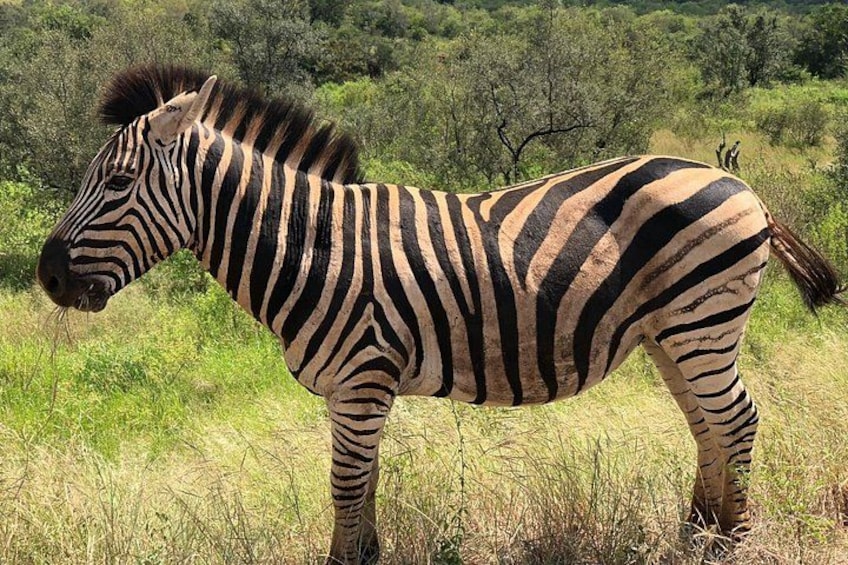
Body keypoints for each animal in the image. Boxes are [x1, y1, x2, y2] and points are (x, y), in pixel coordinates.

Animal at [37, 66, 843, 564]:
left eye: (116, 182)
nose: (46, 275)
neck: (313, 244)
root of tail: (740, 184)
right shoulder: (358, 388)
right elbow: (364, 483)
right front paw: (369, 554)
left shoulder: (362, 377)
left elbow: (346, 484)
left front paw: (348, 560)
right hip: (670, 333)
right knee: (707, 423)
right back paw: (696, 532)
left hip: (700, 321)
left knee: (736, 419)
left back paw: (733, 540)